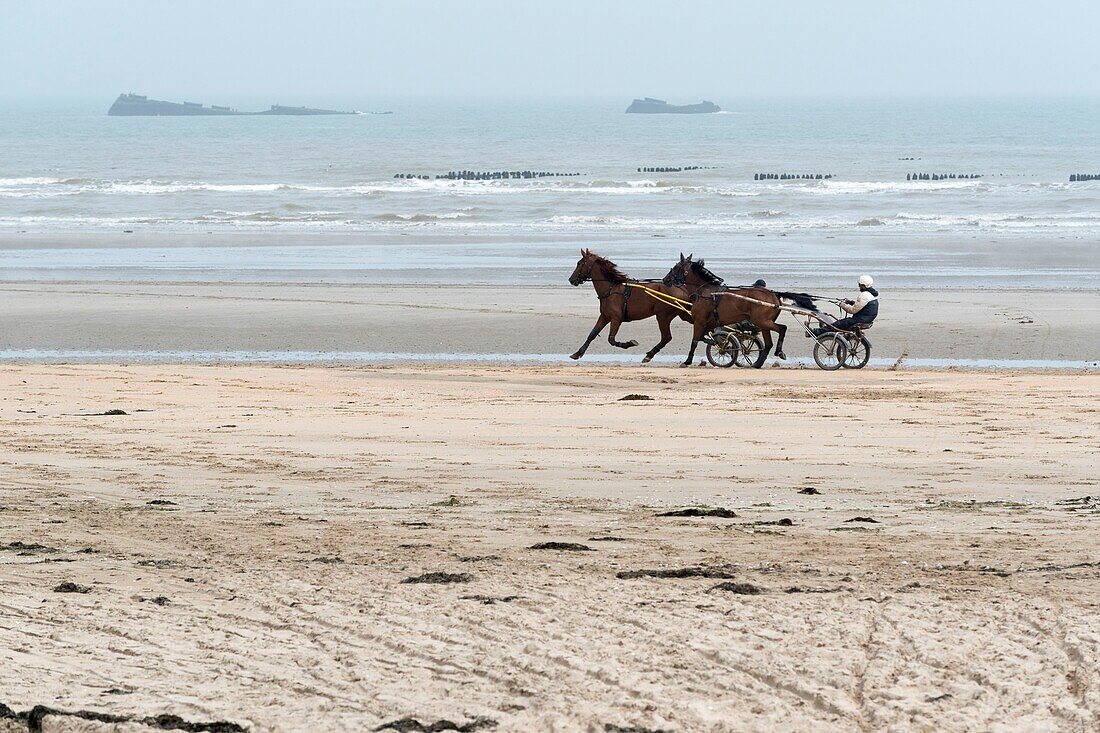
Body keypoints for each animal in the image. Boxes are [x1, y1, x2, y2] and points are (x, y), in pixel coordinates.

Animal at [660, 253, 818, 365]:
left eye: (675, 267)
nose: (664, 280)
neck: (707, 292)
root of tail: (773, 294)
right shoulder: (710, 322)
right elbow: (706, 336)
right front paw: (718, 344)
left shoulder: (699, 320)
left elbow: (695, 340)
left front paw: (687, 361)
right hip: (763, 323)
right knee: (768, 343)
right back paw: (758, 364)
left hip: (762, 321)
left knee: (782, 329)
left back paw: (779, 352)